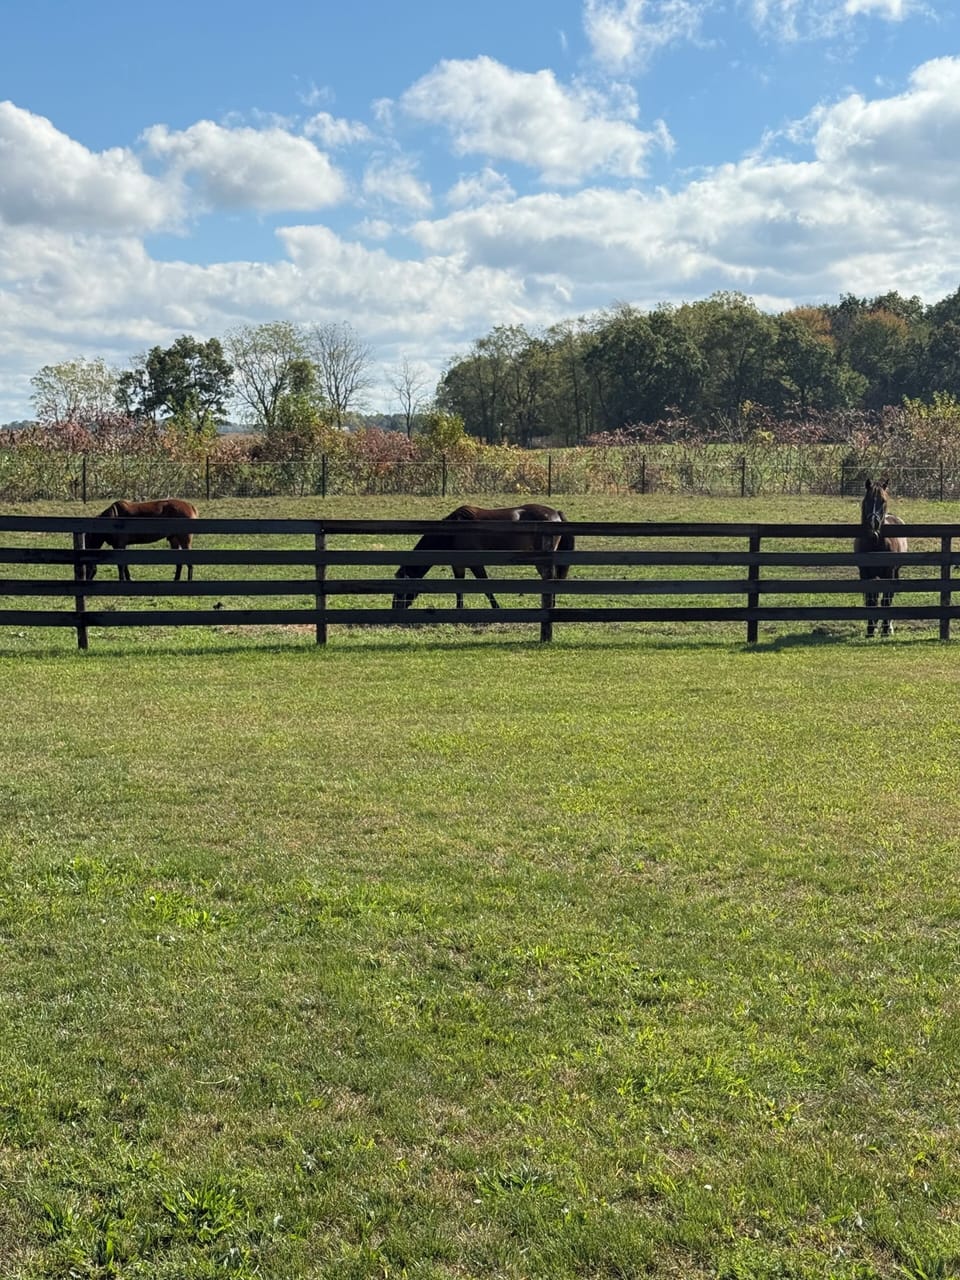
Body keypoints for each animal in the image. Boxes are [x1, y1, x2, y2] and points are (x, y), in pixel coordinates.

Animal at [392, 503, 574, 610]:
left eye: (400, 592)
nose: (394, 608)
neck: (452, 533)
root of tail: (556, 513)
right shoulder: (458, 565)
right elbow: (458, 589)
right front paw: (459, 609)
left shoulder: (476, 563)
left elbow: (486, 587)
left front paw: (496, 607)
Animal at [855, 477, 907, 636]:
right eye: (867, 500)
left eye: (883, 501)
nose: (874, 523)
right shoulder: (865, 574)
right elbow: (871, 600)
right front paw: (870, 629)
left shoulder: (889, 573)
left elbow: (885, 600)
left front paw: (885, 629)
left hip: (895, 572)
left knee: (889, 596)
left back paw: (888, 626)